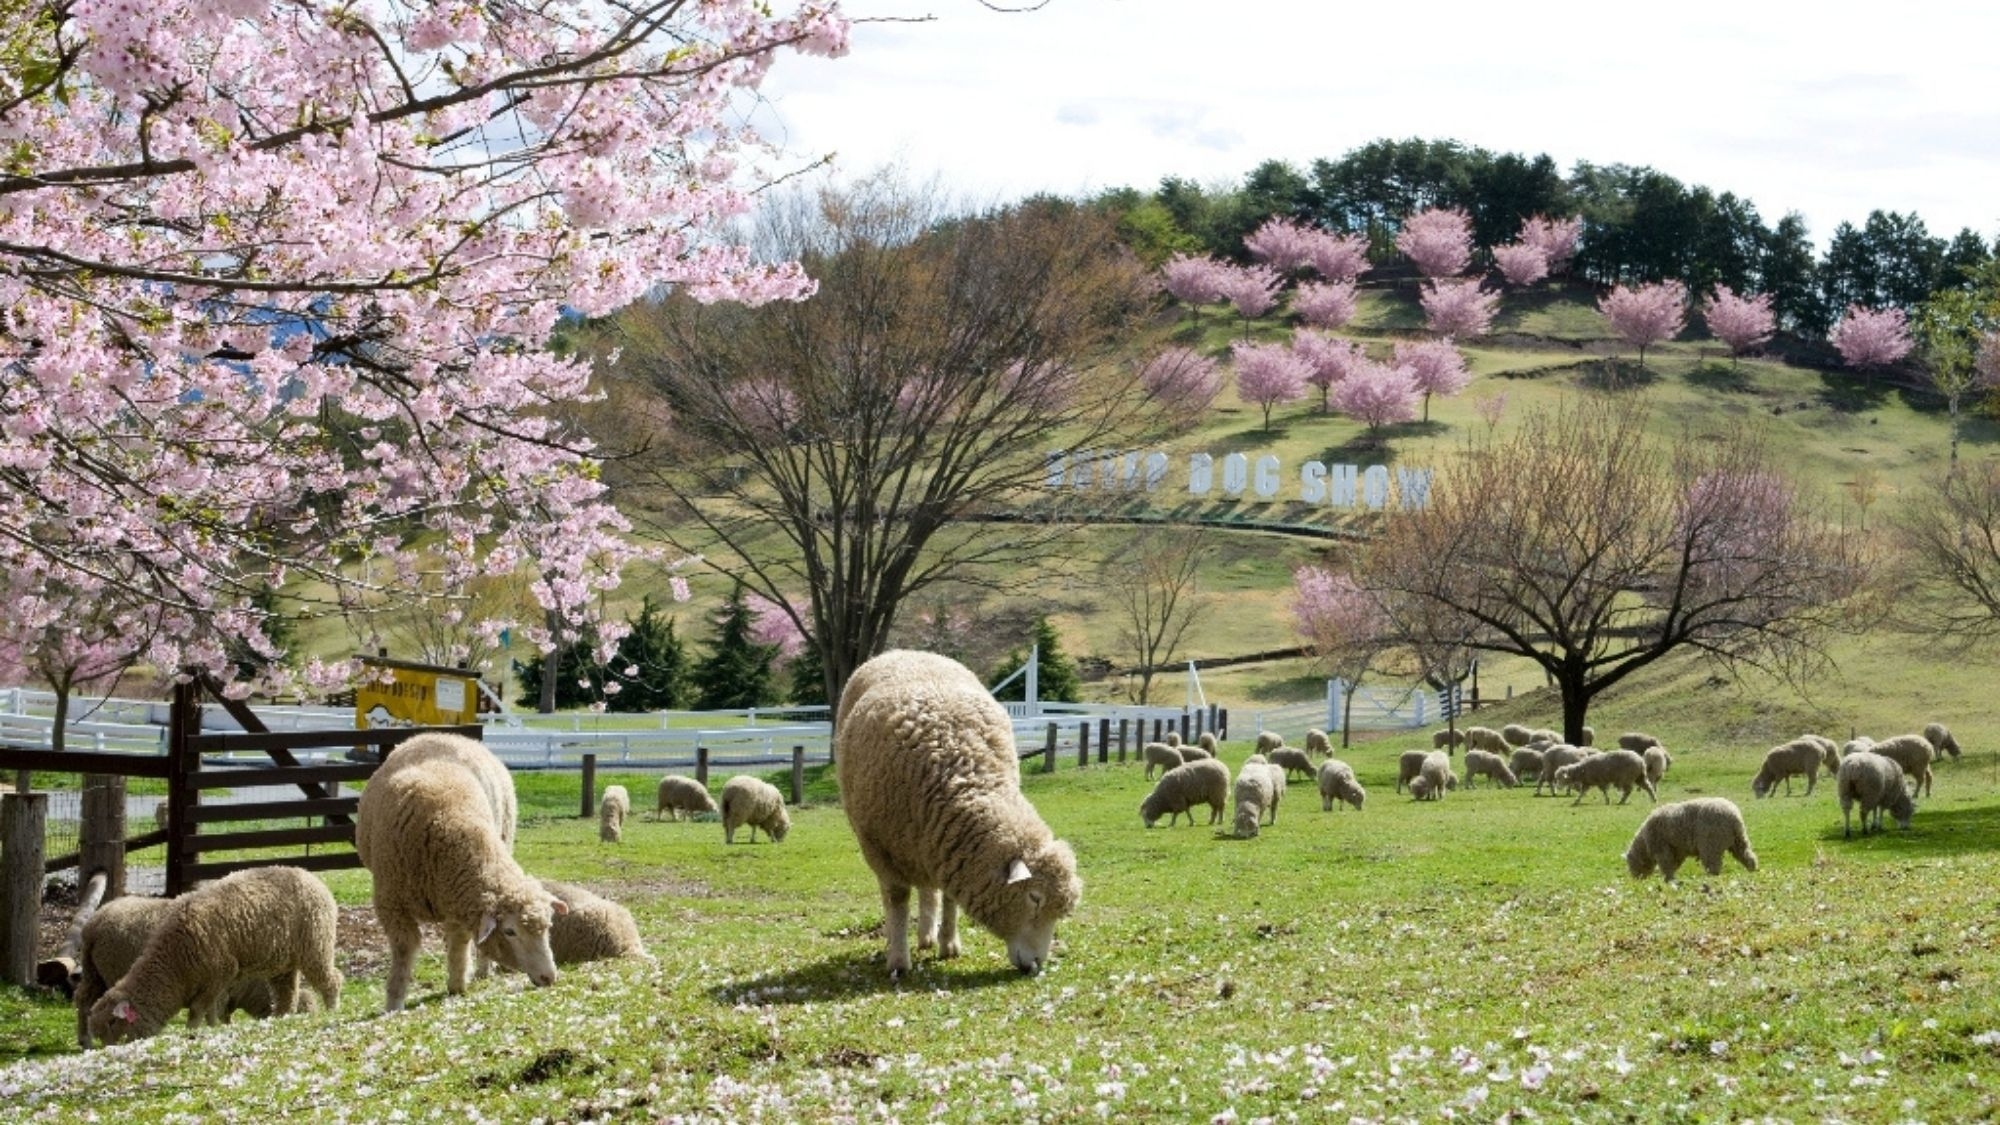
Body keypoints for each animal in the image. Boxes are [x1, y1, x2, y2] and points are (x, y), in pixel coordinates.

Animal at [86, 868, 342, 1040]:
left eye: (113, 1023)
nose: (108, 1049)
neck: (175, 965)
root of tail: (310, 876)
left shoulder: (221, 973)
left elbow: (199, 1009)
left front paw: (194, 1030)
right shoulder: (216, 981)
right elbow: (211, 1008)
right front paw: (213, 1026)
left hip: (315, 944)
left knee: (331, 979)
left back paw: (332, 1010)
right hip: (283, 962)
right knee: (288, 994)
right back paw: (282, 1018)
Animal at [354, 728, 564, 1008]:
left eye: (549, 926)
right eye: (510, 931)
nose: (549, 977)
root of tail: (448, 734)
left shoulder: (458, 901)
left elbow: (459, 942)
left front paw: (456, 983)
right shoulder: (392, 903)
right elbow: (404, 950)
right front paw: (394, 1003)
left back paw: (482, 969)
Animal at [828, 648, 1080, 972]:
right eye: (1034, 898)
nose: (1036, 965)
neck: (961, 775)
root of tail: (906, 651)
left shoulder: (948, 844)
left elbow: (948, 896)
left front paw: (948, 944)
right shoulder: (883, 850)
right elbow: (897, 900)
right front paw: (898, 960)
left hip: (923, 843)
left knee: (929, 889)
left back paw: (927, 935)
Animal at [1616, 792, 1760, 880]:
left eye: (1630, 864)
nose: (1636, 879)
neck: (1644, 843)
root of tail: (1734, 817)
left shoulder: (1661, 846)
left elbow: (1666, 863)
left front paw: (1668, 878)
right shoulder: (1677, 849)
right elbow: (1674, 864)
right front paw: (1671, 877)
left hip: (1711, 841)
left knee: (1713, 863)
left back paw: (1711, 876)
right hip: (1738, 839)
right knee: (1746, 853)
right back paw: (1752, 869)